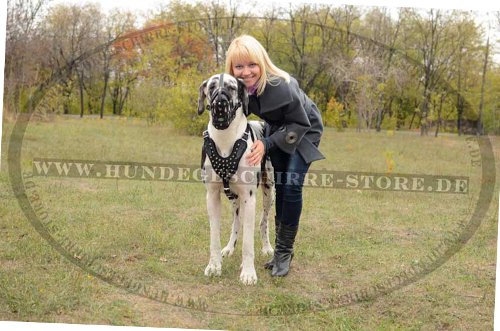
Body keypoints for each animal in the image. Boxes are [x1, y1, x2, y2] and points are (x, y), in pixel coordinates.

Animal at [197, 74, 274, 286]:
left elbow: (248, 243)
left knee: (263, 221)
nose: (220, 102)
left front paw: (248, 273)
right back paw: (230, 248)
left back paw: (267, 247)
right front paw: (214, 266)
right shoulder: (212, 196)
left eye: (231, 87)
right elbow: (214, 237)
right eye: (212, 87)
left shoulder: (249, 197)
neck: (225, 138)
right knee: (236, 222)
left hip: (268, 192)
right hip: (233, 198)